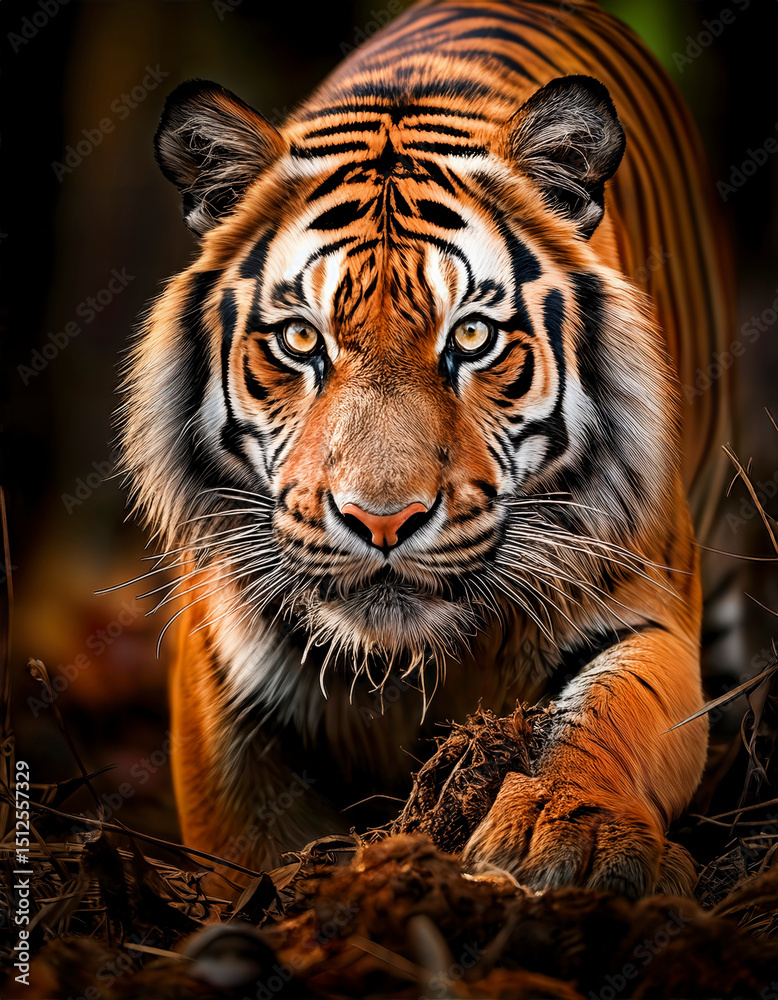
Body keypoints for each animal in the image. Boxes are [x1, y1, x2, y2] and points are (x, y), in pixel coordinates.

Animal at [120, 0, 735, 898]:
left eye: (472, 337)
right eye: (301, 339)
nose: (383, 522)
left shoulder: (641, 602)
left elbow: (609, 717)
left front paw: (572, 834)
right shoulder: (218, 676)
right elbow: (247, 847)